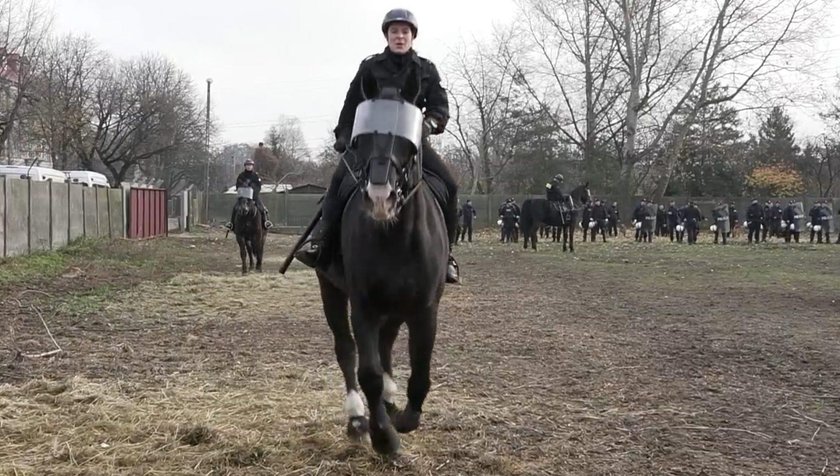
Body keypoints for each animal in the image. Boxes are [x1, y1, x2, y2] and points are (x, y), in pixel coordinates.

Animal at [302, 77, 450, 454]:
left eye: (408, 141)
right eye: (362, 138)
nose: (380, 197)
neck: (394, 235)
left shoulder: (425, 309)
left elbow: (420, 368)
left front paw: (404, 417)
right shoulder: (363, 306)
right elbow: (366, 370)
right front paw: (384, 438)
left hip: (395, 308)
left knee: (386, 345)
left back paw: (390, 397)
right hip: (332, 291)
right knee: (345, 348)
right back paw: (357, 417)